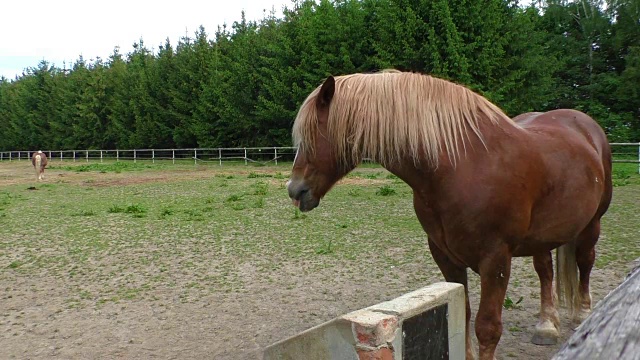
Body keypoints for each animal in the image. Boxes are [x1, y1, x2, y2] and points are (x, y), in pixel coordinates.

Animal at [288, 71, 612, 360]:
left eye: (313, 133)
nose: (295, 190)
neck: (461, 165)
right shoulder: (445, 255)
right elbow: (463, 314)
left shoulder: (496, 259)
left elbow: (487, 327)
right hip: (543, 237)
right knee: (545, 271)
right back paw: (546, 326)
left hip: (591, 225)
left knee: (585, 262)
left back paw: (583, 314)